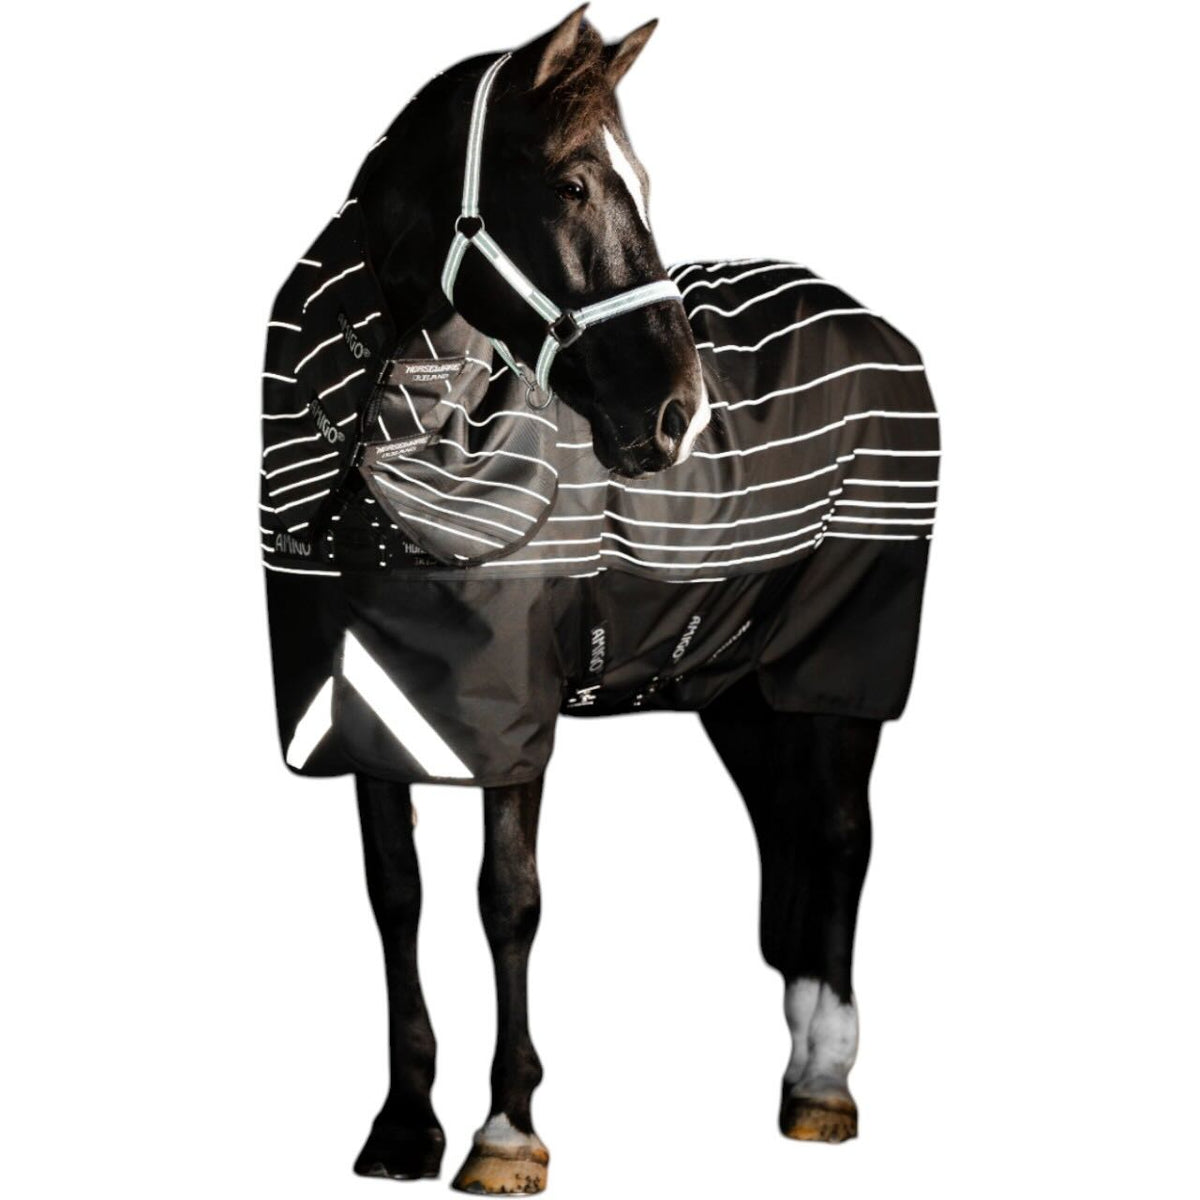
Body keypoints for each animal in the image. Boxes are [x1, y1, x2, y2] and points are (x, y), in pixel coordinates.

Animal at [259, 7, 938, 1192]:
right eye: (574, 184)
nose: (677, 414)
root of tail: (876, 323)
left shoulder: (514, 718)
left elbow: (508, 900)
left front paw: (505, 1131)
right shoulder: (370, 710)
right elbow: (397, 896)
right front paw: (402, 1125)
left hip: (838, 674)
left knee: (841, 839)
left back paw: (824, 1086)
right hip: (740, 687)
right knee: (790, 843)